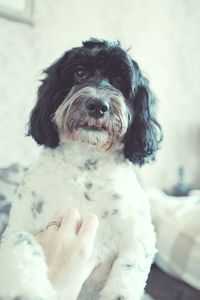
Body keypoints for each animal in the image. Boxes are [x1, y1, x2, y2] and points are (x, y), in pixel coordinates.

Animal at [0, 38, 162, 298]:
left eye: (119, 80)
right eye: (79, 73)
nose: (97, 105)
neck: (86, 169)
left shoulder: (141, 240)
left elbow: (125, 282)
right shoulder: (17, 228)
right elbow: (22, 242)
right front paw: (31, 289)